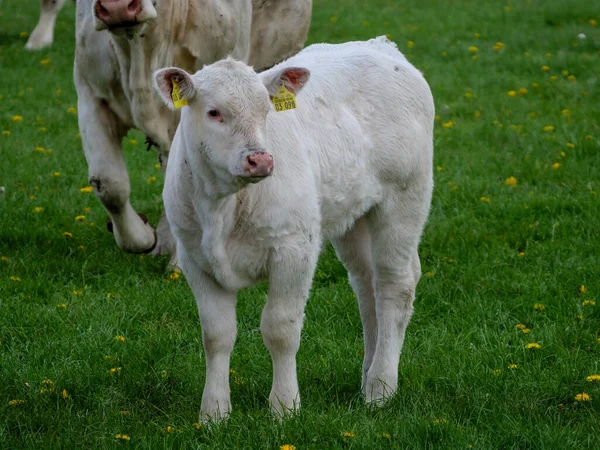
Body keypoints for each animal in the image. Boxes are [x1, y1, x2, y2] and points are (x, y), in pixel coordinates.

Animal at [155, 37, 434, 420]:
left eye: (266, 111)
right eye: (214, 112)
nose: (260, 160)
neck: (223, 209)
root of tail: (381, 46)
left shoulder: (295, 249)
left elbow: (280, 329)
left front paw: (284, 407)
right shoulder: (195, 259)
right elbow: (216, 335)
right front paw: (214, 413)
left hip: (404, 199)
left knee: (396, 285)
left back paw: (380, 387)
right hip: (352, 214)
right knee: (367, 286)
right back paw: (367, 375)